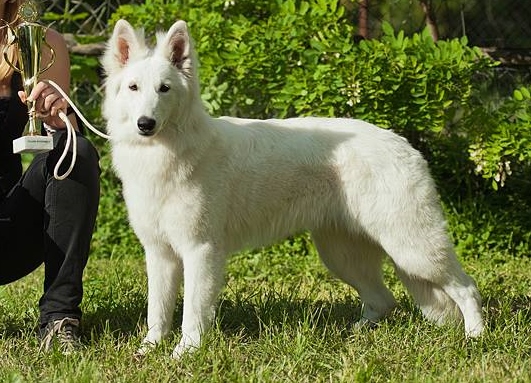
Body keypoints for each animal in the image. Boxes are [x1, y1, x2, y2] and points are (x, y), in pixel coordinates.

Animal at [102, 18, 484, 360]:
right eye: (133, 88)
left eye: (164, 89)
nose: (145, 124)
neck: (167, 153)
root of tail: (403, 144)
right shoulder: (160, 253)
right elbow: (158, 311)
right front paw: (147, 351)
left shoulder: (201, 251)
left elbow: (192, 314)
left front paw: (185, 354)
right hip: (342, 255)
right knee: (382, 300)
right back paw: (355, 335)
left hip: (411, 248)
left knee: (466, 288)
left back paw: (476, 337)